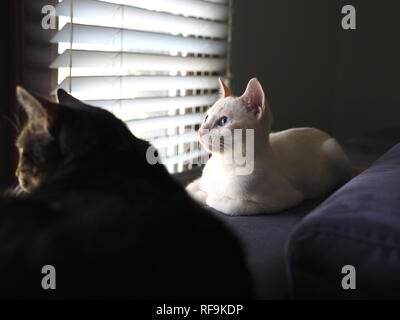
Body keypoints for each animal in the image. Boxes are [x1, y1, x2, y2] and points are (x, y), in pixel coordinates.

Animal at [186, 77, 352, 215]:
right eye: (206, 117)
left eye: (224, 121)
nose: (200, 131)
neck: (224, 164)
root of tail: (325, 135)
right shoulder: (202, 181)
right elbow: (192, 187)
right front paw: (200, 193)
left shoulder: (286, 198)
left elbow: (229, 205)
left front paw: (209, 197)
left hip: (332, 151)